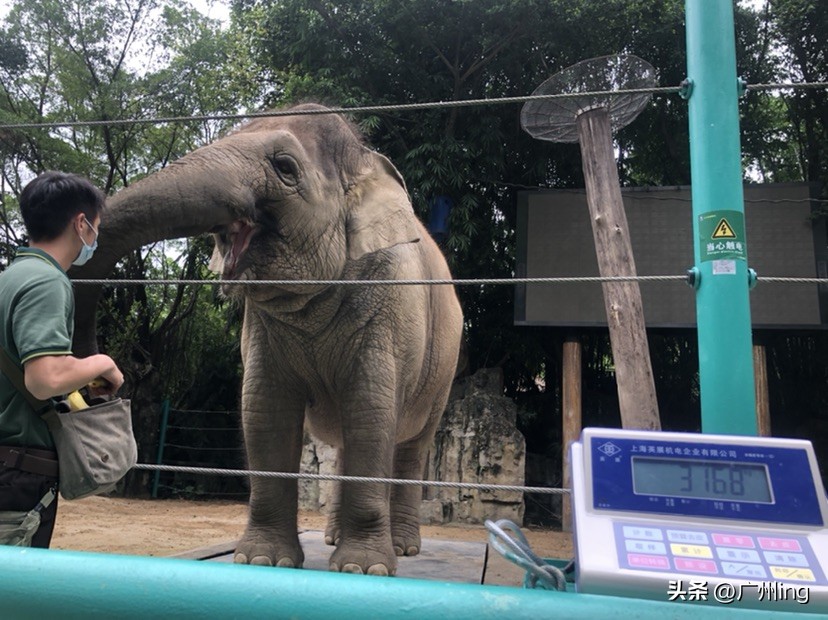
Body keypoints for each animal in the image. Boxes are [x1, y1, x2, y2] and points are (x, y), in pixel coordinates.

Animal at [72, 104, 464, 576]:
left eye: (285, 167)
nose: (102, 381)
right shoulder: (262, 327)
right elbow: (265, 409)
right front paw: (262, 560)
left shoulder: (388, 305)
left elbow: (370, 409)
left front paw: (363, 569)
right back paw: (333, 538)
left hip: (444, 370)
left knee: (411, 443)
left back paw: (403, 548)